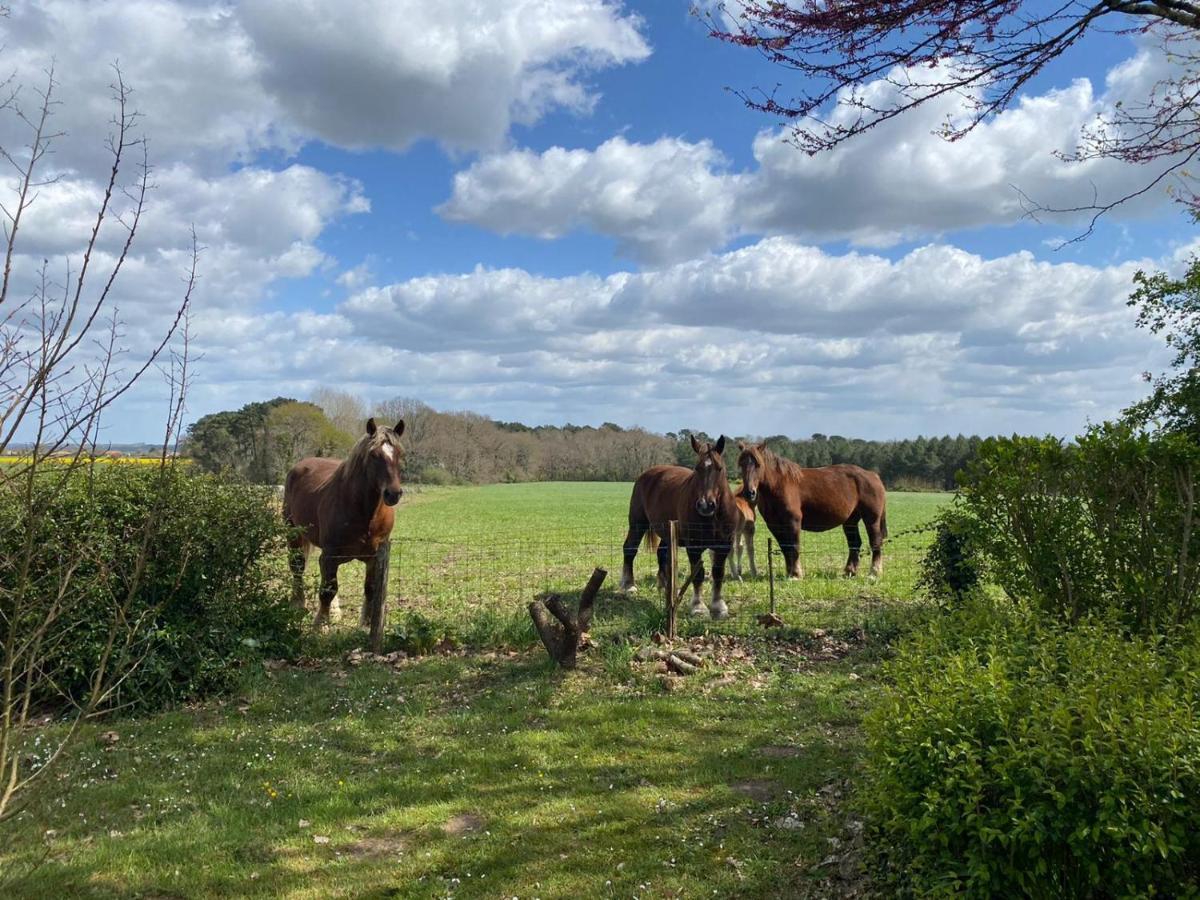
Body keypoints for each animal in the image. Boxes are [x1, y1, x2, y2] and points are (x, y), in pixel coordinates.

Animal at [619, 434, 739, 619]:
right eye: (697, 468)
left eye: (719, 469)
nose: (705, 505)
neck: (713, 517)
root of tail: (647, 474)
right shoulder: (694, 546)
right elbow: (698, 574)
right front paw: (698, 607)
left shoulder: (724, 545)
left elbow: (718, 573)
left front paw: (719, 606)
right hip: (638, 523)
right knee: (630, 548)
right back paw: (628, 585)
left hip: (667, 530)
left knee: (661, 553)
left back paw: (666, 585)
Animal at [734, 441, 888, 578]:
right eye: (741, 464)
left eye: (758, 464)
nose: (749, 493)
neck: (779, 485)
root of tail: (873, 475)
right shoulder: (775, 525)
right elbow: (785, 548)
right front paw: (789, 573)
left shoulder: (793, 522)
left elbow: (794, 546)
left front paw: (796, 574)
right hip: (850, 522)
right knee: (855, 544)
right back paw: (850, 572)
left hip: (871, 520)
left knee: (875, 542)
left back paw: (874, 573)